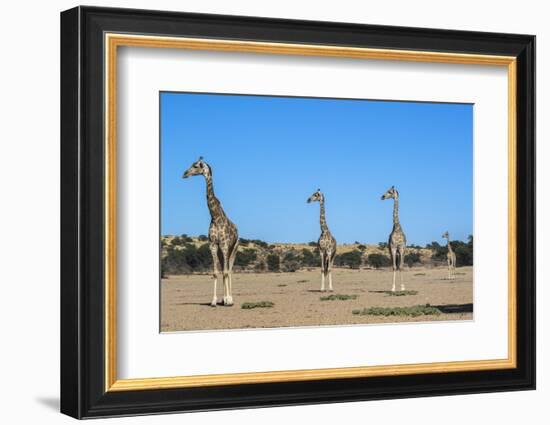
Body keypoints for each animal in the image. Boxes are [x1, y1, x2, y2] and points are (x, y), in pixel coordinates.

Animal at [183, 156, 239, 304]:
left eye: (196, 165)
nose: (184, 174)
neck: (215, 216)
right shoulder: (213, 245)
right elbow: (215, 272)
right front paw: (214, 301)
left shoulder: (224, 245)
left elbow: (225, 272)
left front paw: (228, 300)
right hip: (221, 251)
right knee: (225, 269)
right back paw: (223, 299)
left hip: (233, 248)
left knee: (229, 270)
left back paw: (230, 299)